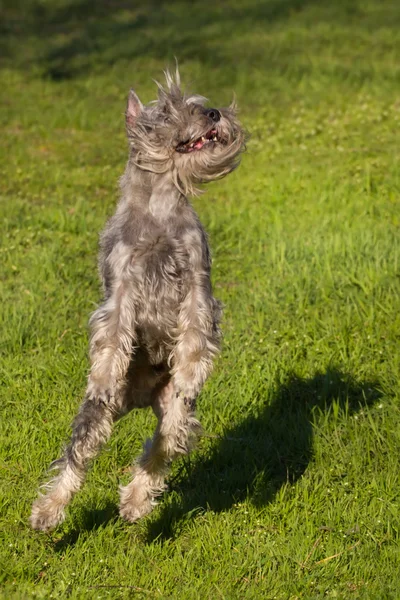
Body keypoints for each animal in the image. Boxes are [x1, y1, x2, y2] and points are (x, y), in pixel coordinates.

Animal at [29, 68, 245, 532]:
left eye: (197, 103)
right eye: (165, 109)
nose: (213, 113)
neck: (160, 206)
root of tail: (141, 398)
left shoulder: (197, 286)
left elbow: (195, 339)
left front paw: (190, 374)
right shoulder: (121, 287)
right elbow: (112, 335)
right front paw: (105, 373)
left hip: (169, 410)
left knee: (164, 441)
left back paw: (135, 501)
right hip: (98, 417)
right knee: (77, 457)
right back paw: (48, 511)